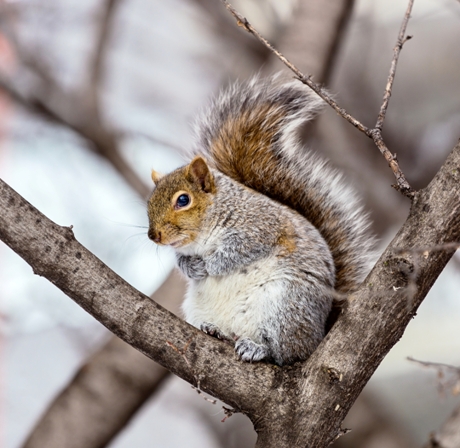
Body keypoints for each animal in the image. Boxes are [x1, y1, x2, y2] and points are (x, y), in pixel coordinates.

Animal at [147, 76, 374, 364]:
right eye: (149, 201)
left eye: (183, 200)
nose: (153, 235)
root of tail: (319, 335)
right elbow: (181, 260)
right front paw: (192, 267)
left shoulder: (260, 227)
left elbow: (239, 252)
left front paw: (210, 265)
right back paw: (214, 330)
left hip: (285, 307)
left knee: (284, 352)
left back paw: (257, 348)